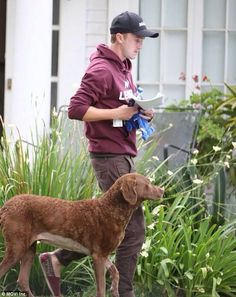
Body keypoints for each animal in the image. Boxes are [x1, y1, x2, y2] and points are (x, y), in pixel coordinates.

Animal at [0, 172, 163, 296]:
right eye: (147, 183)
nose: (162, 190)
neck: (110, 209)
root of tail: (6, 206)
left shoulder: (102, 254)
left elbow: (115, 272)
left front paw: (115, 290)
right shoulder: (98, 256)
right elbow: (101, 289)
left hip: (29, 248)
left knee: (22, 280)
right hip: (16, 247)